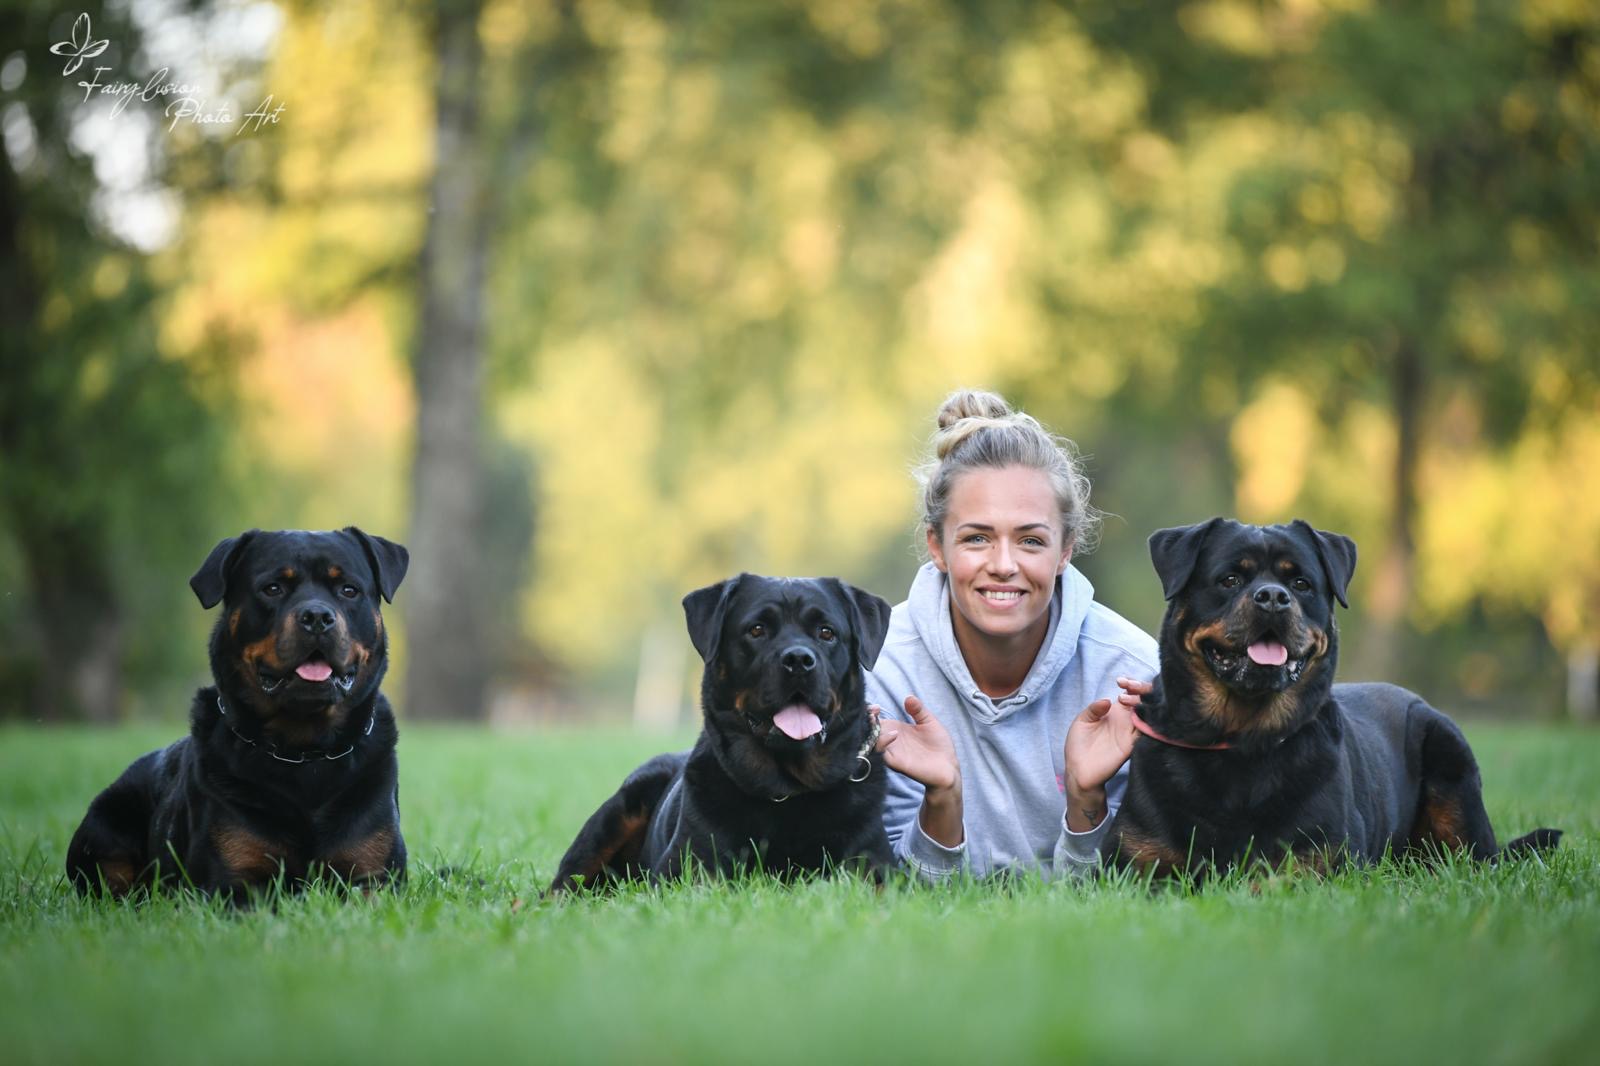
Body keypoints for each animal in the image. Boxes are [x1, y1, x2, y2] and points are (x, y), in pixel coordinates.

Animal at [66, 527, 409, 901]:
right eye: (273, 588)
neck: (305, 755)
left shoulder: (374, 877)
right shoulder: (232, 881)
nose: (317, 617)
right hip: (103, 828)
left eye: (348, 590)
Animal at [549, 574, 894, 892]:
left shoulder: (876, 868)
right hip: (617, 811)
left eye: (826, 632)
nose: (798, 659)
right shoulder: (685, 869)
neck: (787, 788)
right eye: (757, 629)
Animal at [1101, 518, 1560, 878]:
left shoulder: (1318, 863)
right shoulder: (1135, 867)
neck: (1242, 739)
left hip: (1452, 763)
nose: (1273, 597)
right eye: (1230, 579)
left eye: (1300, 583)